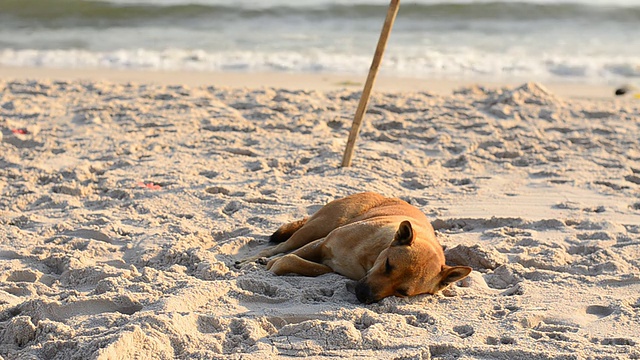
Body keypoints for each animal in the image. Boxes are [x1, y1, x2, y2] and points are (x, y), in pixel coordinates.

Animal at [240, 193, 470, 302]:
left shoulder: (328, 265)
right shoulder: (321, 244)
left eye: (402, 292)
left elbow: (294, 262)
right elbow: (287, 257)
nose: (363, 295)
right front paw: (269, 264)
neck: (369, 259)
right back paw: (252, 260)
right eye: (388, 265)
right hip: (316, 228)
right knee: (279, 247)